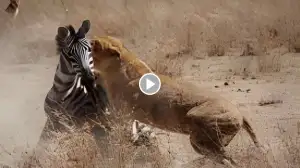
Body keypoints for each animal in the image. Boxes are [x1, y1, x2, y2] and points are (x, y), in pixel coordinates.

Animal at [90, 35, 262, 167]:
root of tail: (240, 114)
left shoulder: (121, 115)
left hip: (199, 130)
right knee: (226, 158)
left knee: (229, 160)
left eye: (94, 44)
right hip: (205, 143)